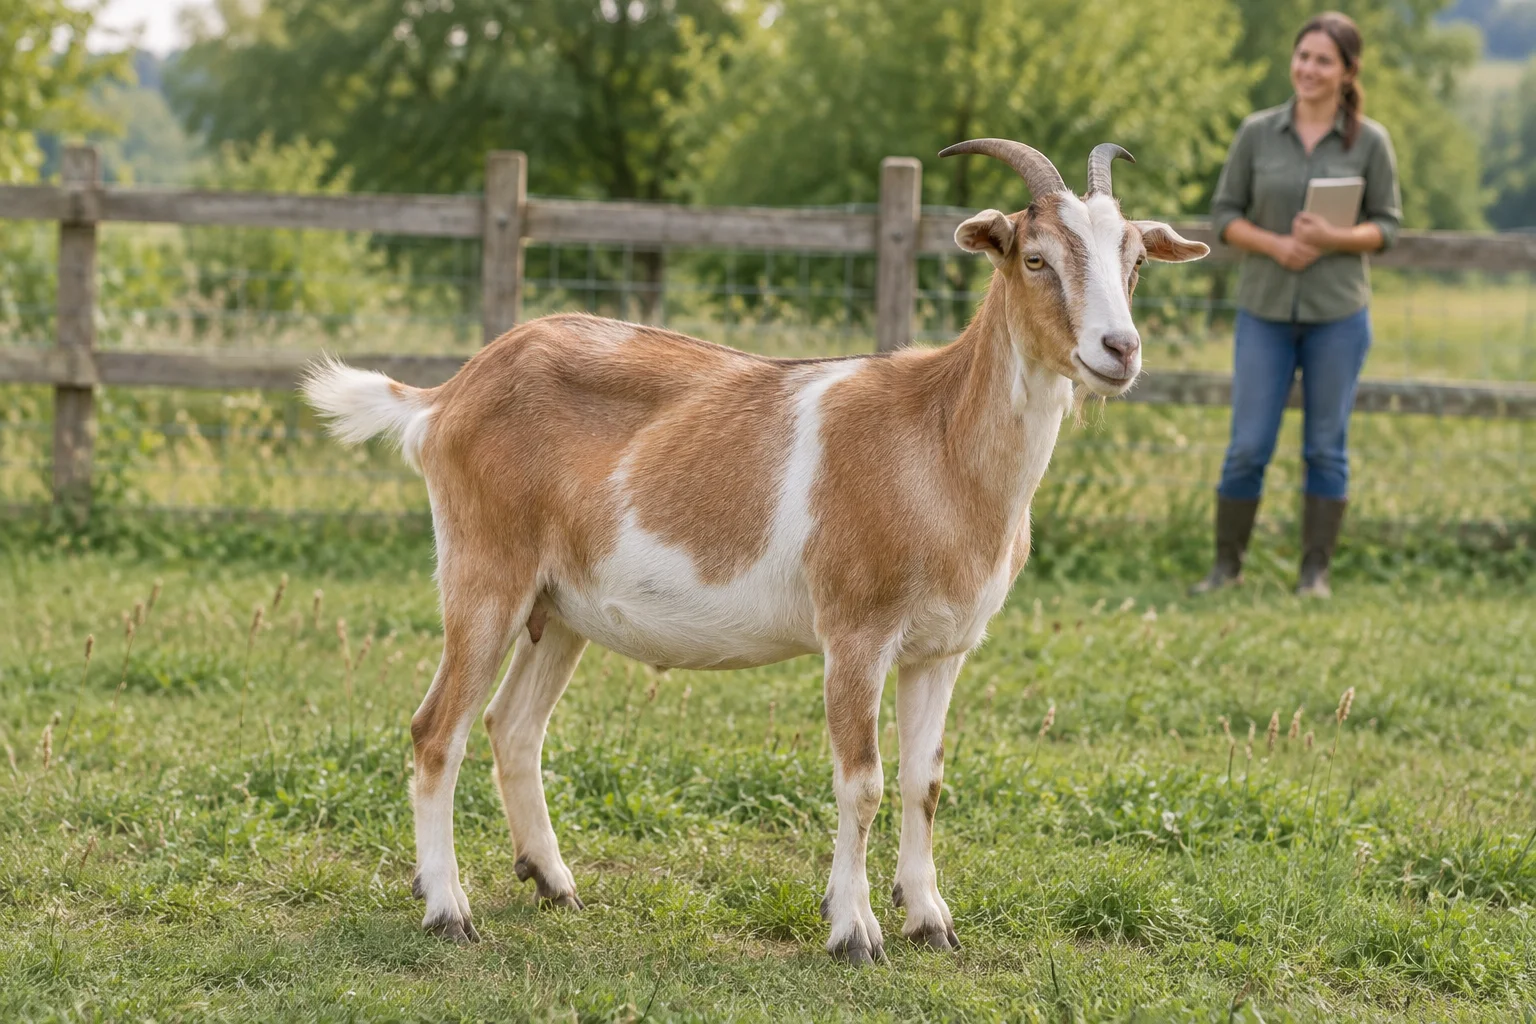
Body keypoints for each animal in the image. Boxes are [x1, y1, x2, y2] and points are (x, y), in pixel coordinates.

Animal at [301, 138, 1207, 963]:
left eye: (1134, 260)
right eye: (1035, 257)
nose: (1119, 350)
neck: (936, 441)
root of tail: (448, 395)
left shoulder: (941, 648)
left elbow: (926, 782)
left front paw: (930, 921)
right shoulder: (855, 633)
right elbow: (863, 781)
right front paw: (854, 931)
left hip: (558, 608)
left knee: (512, 726)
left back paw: (553, 881)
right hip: (485, 574)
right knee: (436, 730)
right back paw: (447, 908)